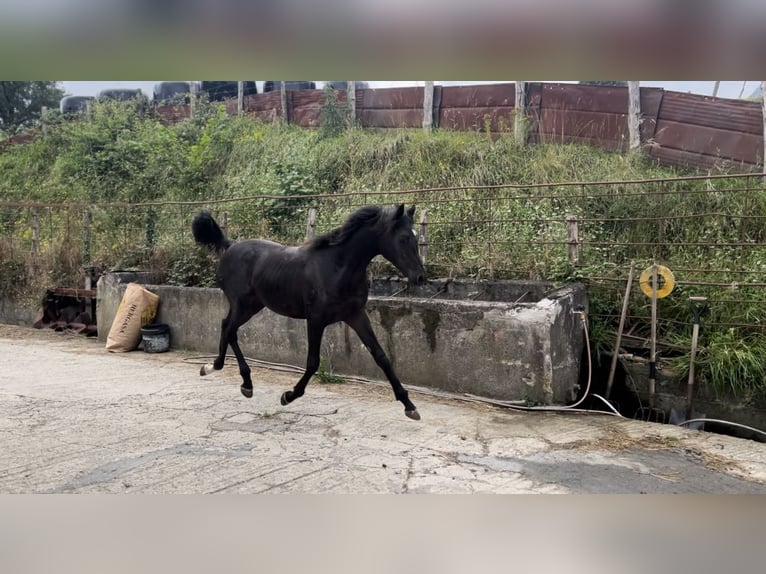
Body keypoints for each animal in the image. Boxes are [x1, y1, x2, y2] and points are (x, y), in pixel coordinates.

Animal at [192, 205, 428, 420]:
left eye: (416, 237)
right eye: (404, 238)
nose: (420, 277)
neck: (337, 267)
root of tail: (230, 246)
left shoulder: (356, 315)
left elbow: (381, 356)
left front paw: (409, 405)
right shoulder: (316, 320)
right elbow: (313, 362)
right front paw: (288, 396)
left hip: (252, 306)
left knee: (227, 327)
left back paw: (233, 377)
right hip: (242, 305)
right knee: (228, 328)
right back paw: (222, 372)